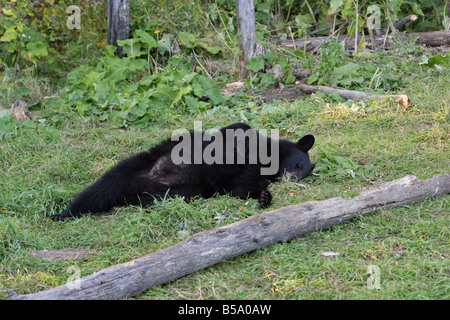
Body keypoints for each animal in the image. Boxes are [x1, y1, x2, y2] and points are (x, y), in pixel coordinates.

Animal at [51, 122, 312, 220]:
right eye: (298, 165)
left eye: (305, 173)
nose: (292, 179)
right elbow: (237, 129)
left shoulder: (246, 178)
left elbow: (240, 188)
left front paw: (265, 197)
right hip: (133, 166)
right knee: (96, 192)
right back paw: (62, 213)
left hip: (181, 192)